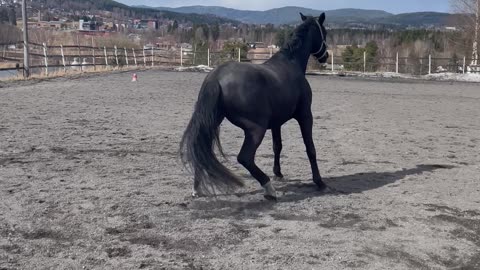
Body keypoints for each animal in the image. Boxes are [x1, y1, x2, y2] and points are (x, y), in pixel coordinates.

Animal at [180, 12, 330, 200]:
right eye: (324, 32)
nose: (326, 56)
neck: (291, 64)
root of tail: (216, 77)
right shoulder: (305, 115)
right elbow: (310, 148)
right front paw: (320, 182)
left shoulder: (276, 123)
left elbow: (277, 146)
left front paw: (278, 173)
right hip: (256, 129)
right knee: (245, 157)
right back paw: (269, 188)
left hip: (213, 122)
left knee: (202, 149)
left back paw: (197, 188)